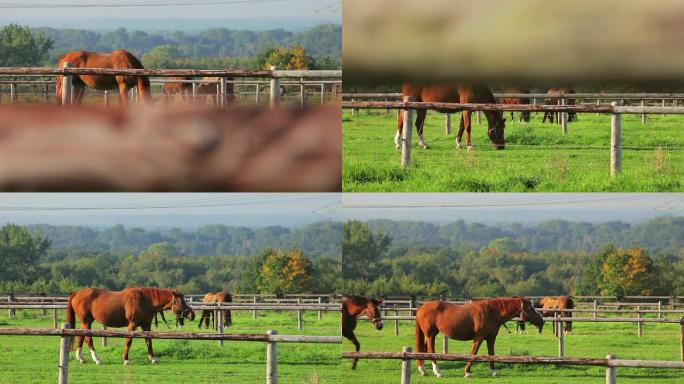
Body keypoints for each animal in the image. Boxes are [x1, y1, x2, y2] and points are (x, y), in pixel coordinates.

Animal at [66, 286, 195, 364]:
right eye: (181, 301)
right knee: (88, 338)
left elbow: (149, 340)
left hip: (85, 323)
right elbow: (129, 341)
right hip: (86, 322)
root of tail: (77, 293)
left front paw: (153, 358)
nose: (192, 315)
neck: (145, 300)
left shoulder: (146, 325)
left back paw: (81, 358)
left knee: (81, 337)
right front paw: (126, 359)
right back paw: (96, 359)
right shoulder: (132, 325)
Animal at [414, 296, 544, 378]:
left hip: (429, 335)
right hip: (430, 335)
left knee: (423, 350)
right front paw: (467, 372)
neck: (492, 312)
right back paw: (438, 372)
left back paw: (423, 370)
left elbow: (491, 354)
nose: (541, 321)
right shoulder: (479, 337)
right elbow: (474, 353)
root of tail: (421, 307)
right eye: (530, 308)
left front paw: (494, 372)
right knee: (431, 351)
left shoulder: (491, 338)